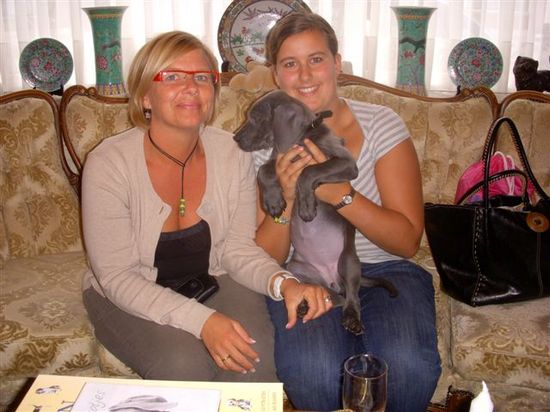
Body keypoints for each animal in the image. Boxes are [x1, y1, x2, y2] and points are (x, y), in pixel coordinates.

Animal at [234, 90, 397, 335]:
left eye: (256, 118)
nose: (235, 138)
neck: (301, 139)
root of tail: (330, 278)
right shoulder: (279, 159)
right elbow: (263, 170)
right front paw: (273, 201)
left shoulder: (345, 163)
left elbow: (309, 171)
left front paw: (306, 206)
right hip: (297, 268)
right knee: (331, 297)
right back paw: (306, 305)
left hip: (348, 261)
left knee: (351, 296)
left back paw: (351, 318)